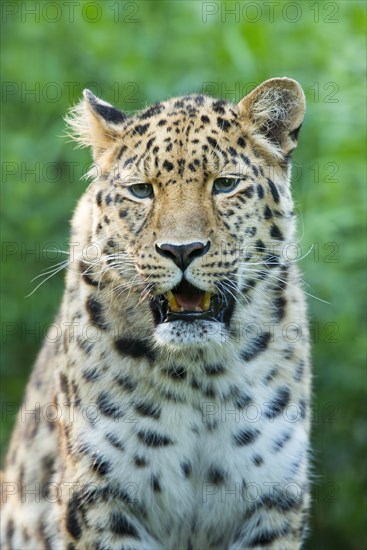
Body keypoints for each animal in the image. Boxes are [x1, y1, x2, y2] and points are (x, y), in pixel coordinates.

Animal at [1, 78, 312, 550]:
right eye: (142, 191)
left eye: (225, 184)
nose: (181, 250)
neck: (202, 379)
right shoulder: (99, 501)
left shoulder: (273, 503)